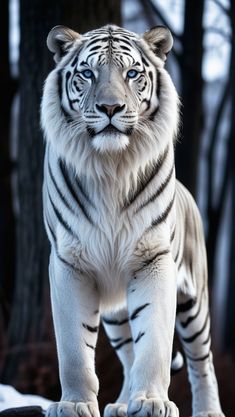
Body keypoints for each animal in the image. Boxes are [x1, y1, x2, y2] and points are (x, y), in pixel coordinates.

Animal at [40, 24, 226, 416]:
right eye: (87, 73)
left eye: (131, 74)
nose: (111, 107)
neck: (111, 166)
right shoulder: (68, 263)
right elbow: (74, 350)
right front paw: (74, 404)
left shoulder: (153, 259)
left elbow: (153, 342)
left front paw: (152, 402)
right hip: (115, 313)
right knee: (126, 355)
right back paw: (122, 405)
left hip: (195, 304)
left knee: (202, 362)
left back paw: (208, 410)